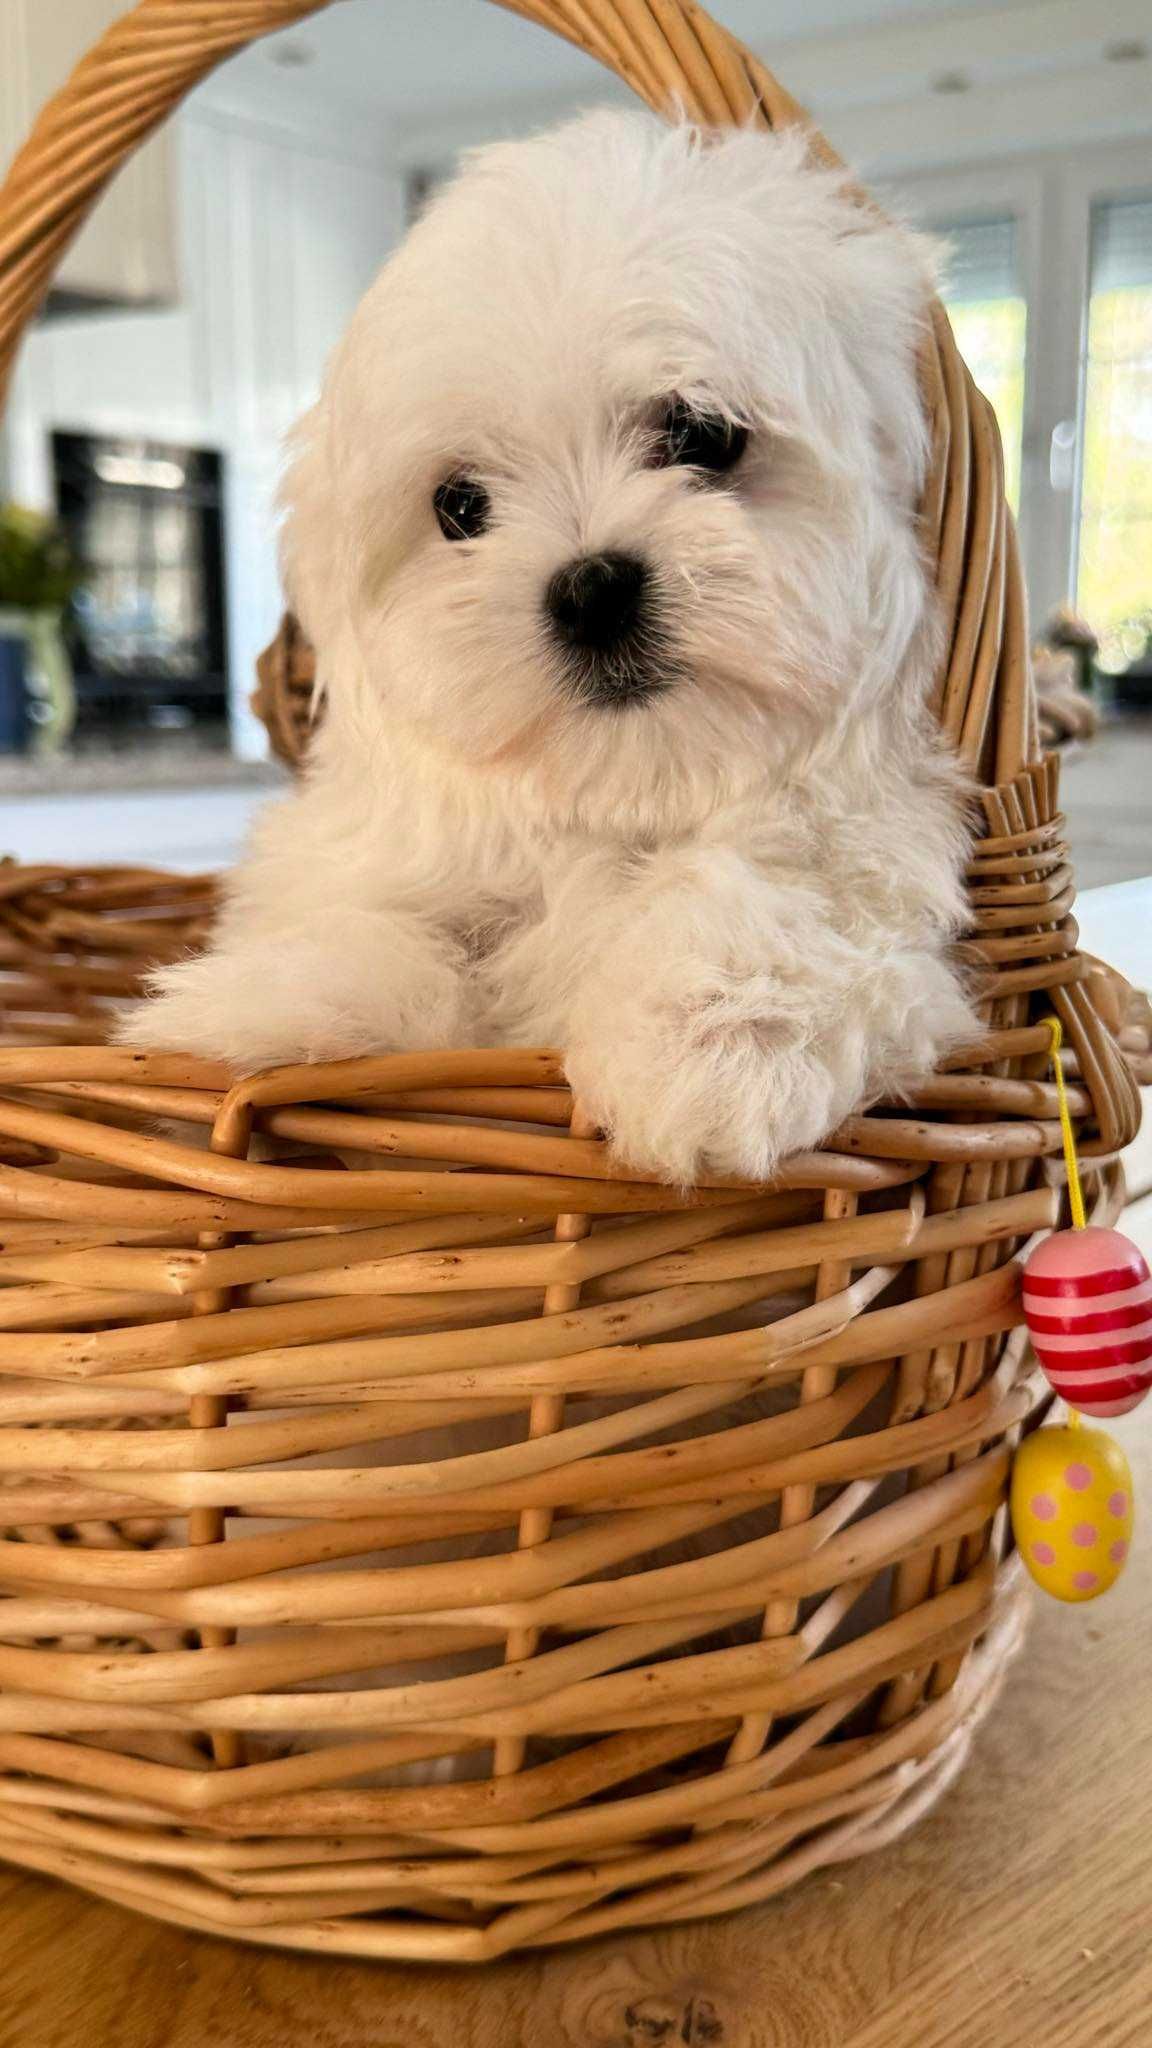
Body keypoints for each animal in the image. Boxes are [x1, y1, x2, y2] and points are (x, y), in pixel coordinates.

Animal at [123, 112, 967, 1179]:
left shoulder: (870, 852)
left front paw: (708, 1046)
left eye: (703, 435)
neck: (618, 794)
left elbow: (782, 905)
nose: (591, 590)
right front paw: (270, 1011)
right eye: (460, 506)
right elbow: (386, 931)